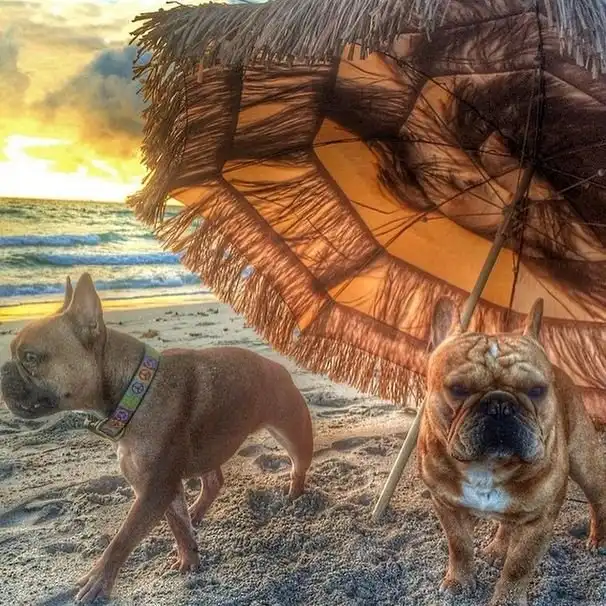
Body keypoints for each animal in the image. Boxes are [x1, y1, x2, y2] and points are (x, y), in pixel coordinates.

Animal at [1, 273, 313, 603]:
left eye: (30, 357)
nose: (3, 370)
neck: (134, 389)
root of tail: (279, 367)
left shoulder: (155, 488)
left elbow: (124, 538)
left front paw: (99, 580)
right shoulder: (159, 487)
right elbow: (178, 525)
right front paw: (189, 559)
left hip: (294, 432)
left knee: (298, 464)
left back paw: (295, 495)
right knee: (213, 481)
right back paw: (197, 511)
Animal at [418, 297, 606, 606]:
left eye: (537, 390)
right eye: (458, 389)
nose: (500, 404)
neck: (489, 467)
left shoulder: (539, 520)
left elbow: (519, 565)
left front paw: (507, 598)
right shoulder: (446, 505)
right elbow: (459, 545)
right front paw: (459, 581)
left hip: (584, 461)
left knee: (598, 498)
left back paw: (599, 538)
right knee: (508, 521)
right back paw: (497, 549)